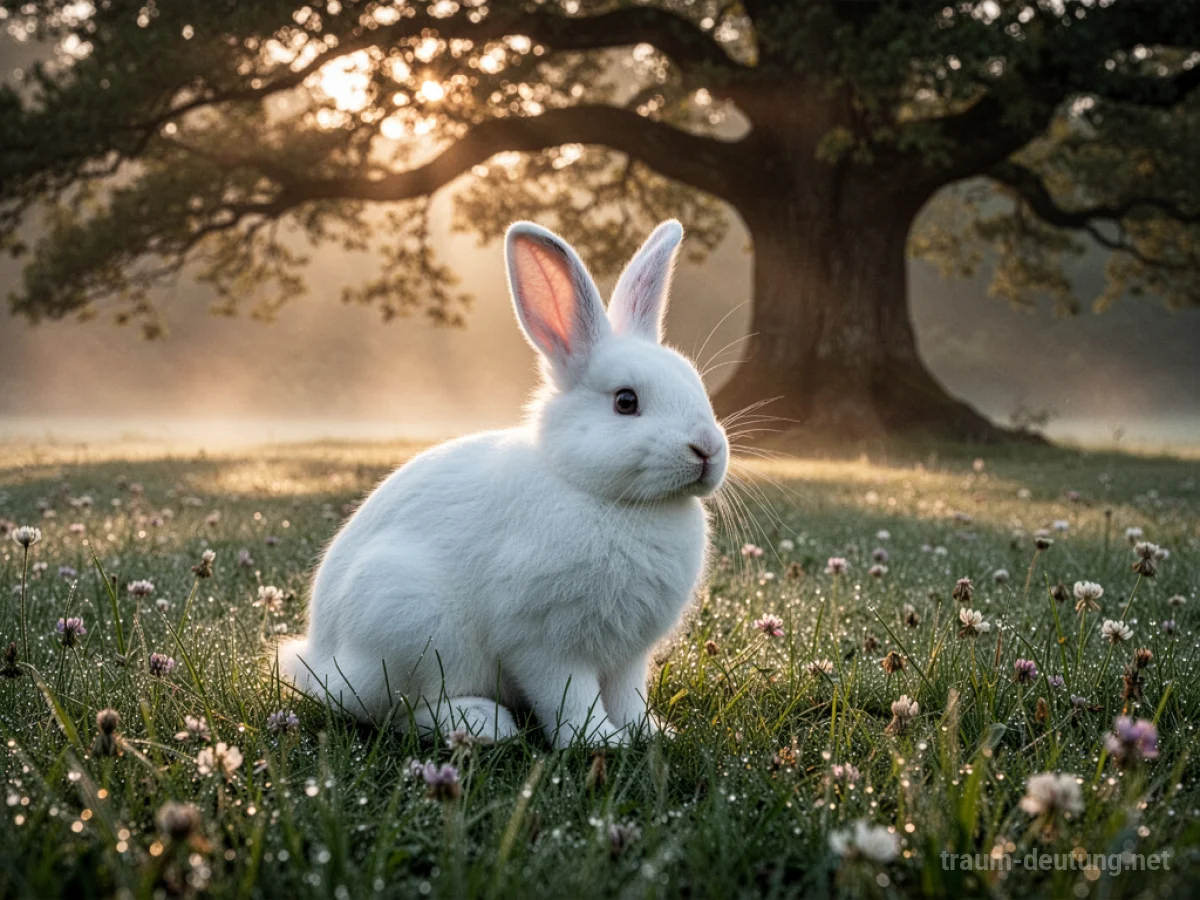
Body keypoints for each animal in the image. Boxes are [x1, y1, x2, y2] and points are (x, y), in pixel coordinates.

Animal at [277, 219, 728, 747]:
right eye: (625, 401)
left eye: (694, 384)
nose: (707, 449)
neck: (602, 494)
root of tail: (318, 661)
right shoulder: (543, 641)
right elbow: (569, 696)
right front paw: (599, 741)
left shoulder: (628, 656)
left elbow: (628, 696)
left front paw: (650, 733)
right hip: (407, 621)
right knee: (396, 711)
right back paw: (482, 724)